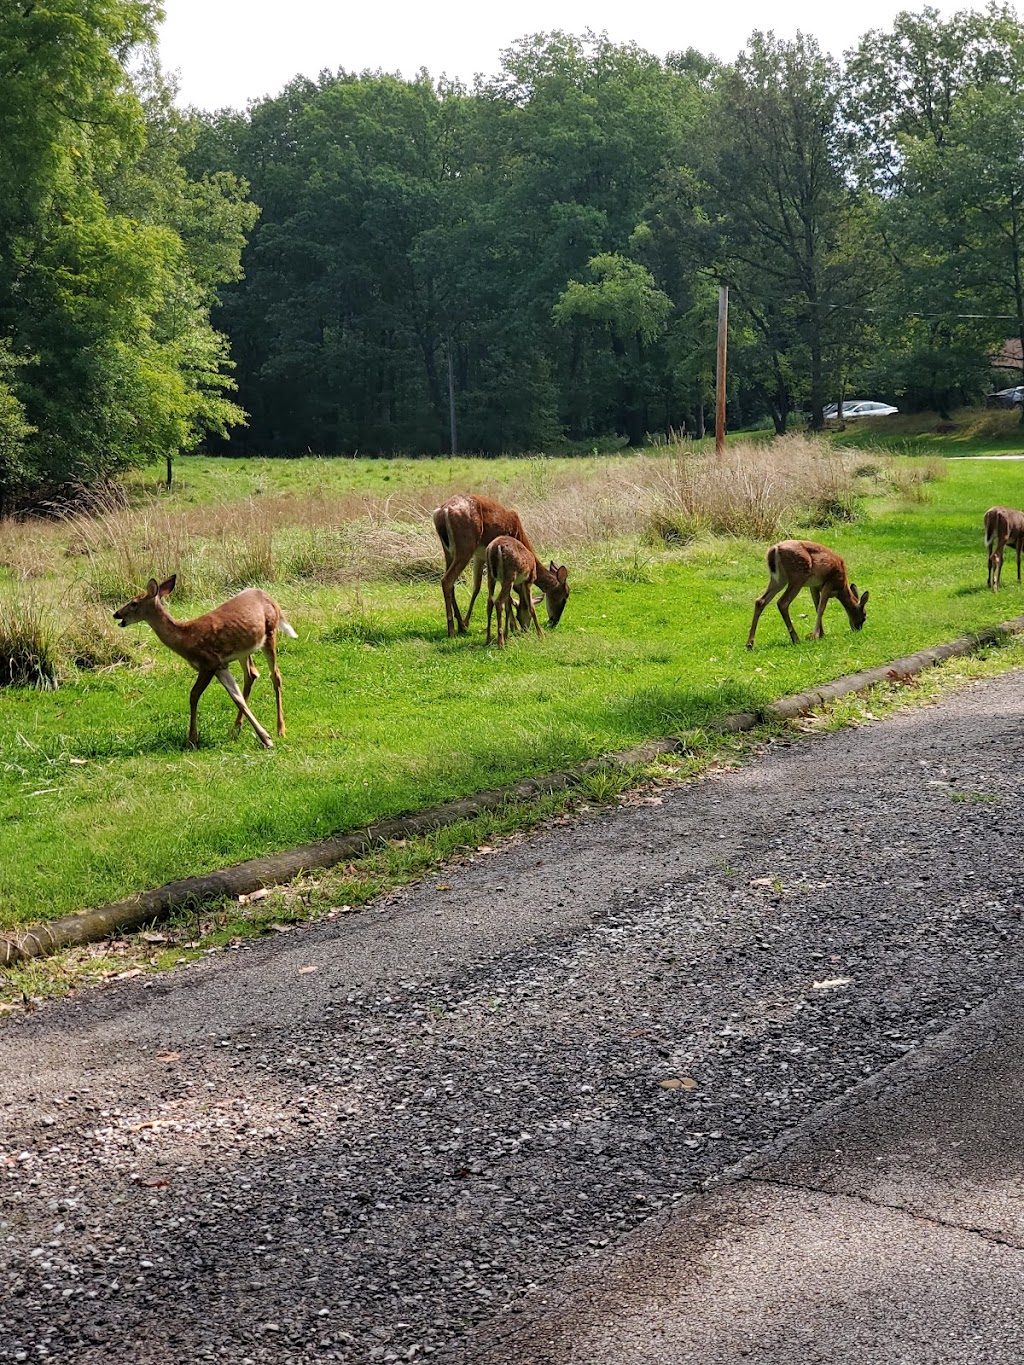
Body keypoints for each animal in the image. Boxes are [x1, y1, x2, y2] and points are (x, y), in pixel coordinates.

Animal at [114, 573, 296, 753]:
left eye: (134, 603)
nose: (116, 614)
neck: (186, 639)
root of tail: (271, 599)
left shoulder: (208, 663)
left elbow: (194, 695)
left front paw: (192, 739)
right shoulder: (220, 666)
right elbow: (237, 698)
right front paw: (265, 738)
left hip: (270, 633)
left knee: (275, 675)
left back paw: (280, 729)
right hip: (244, 650)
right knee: (251, 674)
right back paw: (236, 729)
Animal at [436, 494, 573, 636]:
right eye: (565, 597)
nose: (554, 621)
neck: (519, 535)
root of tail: (442, 511)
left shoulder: (480, 556)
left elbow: (476, 588)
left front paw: (466, 623)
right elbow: (508, 595)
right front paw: (514, 627)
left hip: (448, 551)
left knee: (451, 583)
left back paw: (460, 626)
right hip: (465, 546)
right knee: (447, 580)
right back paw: (452, 630)